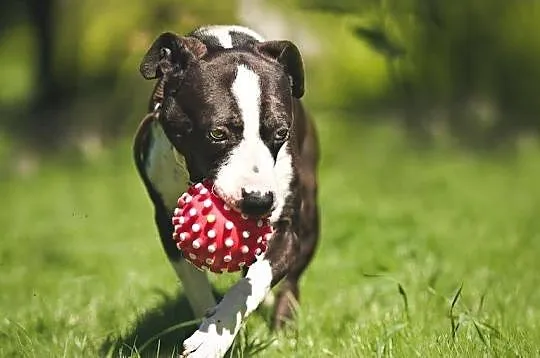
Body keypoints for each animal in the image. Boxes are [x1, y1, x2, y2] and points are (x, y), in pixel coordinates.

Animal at [134, 25, 318, 358]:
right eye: (217, 133)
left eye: (281, 132)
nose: (258, 201)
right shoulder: (166, 223)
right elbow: (196, 287)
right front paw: (209, 329)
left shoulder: (285, 230)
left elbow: (254, 281)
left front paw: (212, 338)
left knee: (291, 281)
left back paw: (283, 329)